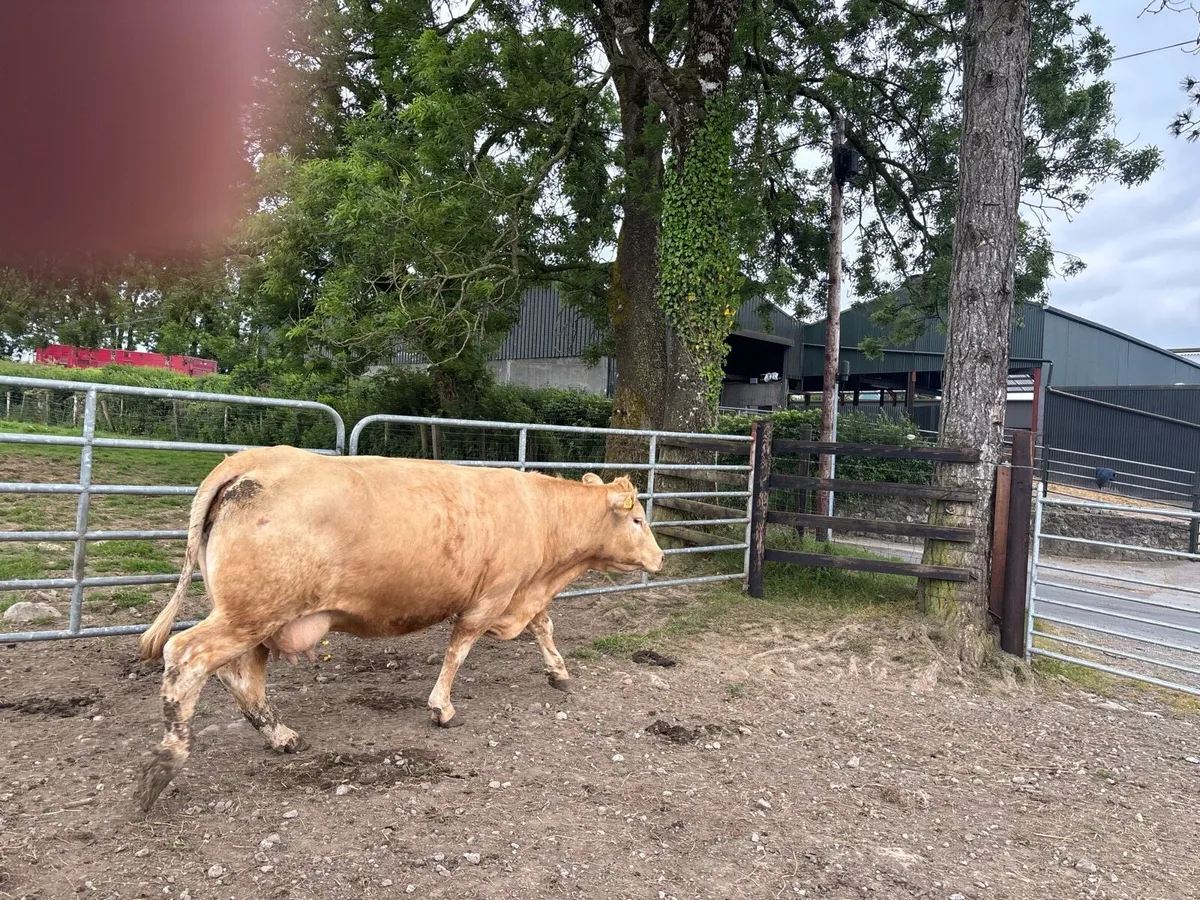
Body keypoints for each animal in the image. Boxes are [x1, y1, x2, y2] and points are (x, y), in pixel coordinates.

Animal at [133, 445, 665, 813]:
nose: (661, 558)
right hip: (252, 610)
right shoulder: (492, 597)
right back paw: (165, 763)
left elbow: (544, 626)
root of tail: (252, 459)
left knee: (238, 674)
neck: (539, 516)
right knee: (187, 655)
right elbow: (459, 649)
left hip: (258, 618)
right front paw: (442, 708)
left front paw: (559, 672)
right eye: (638, 519)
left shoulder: (522, 594)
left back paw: (280, 735)